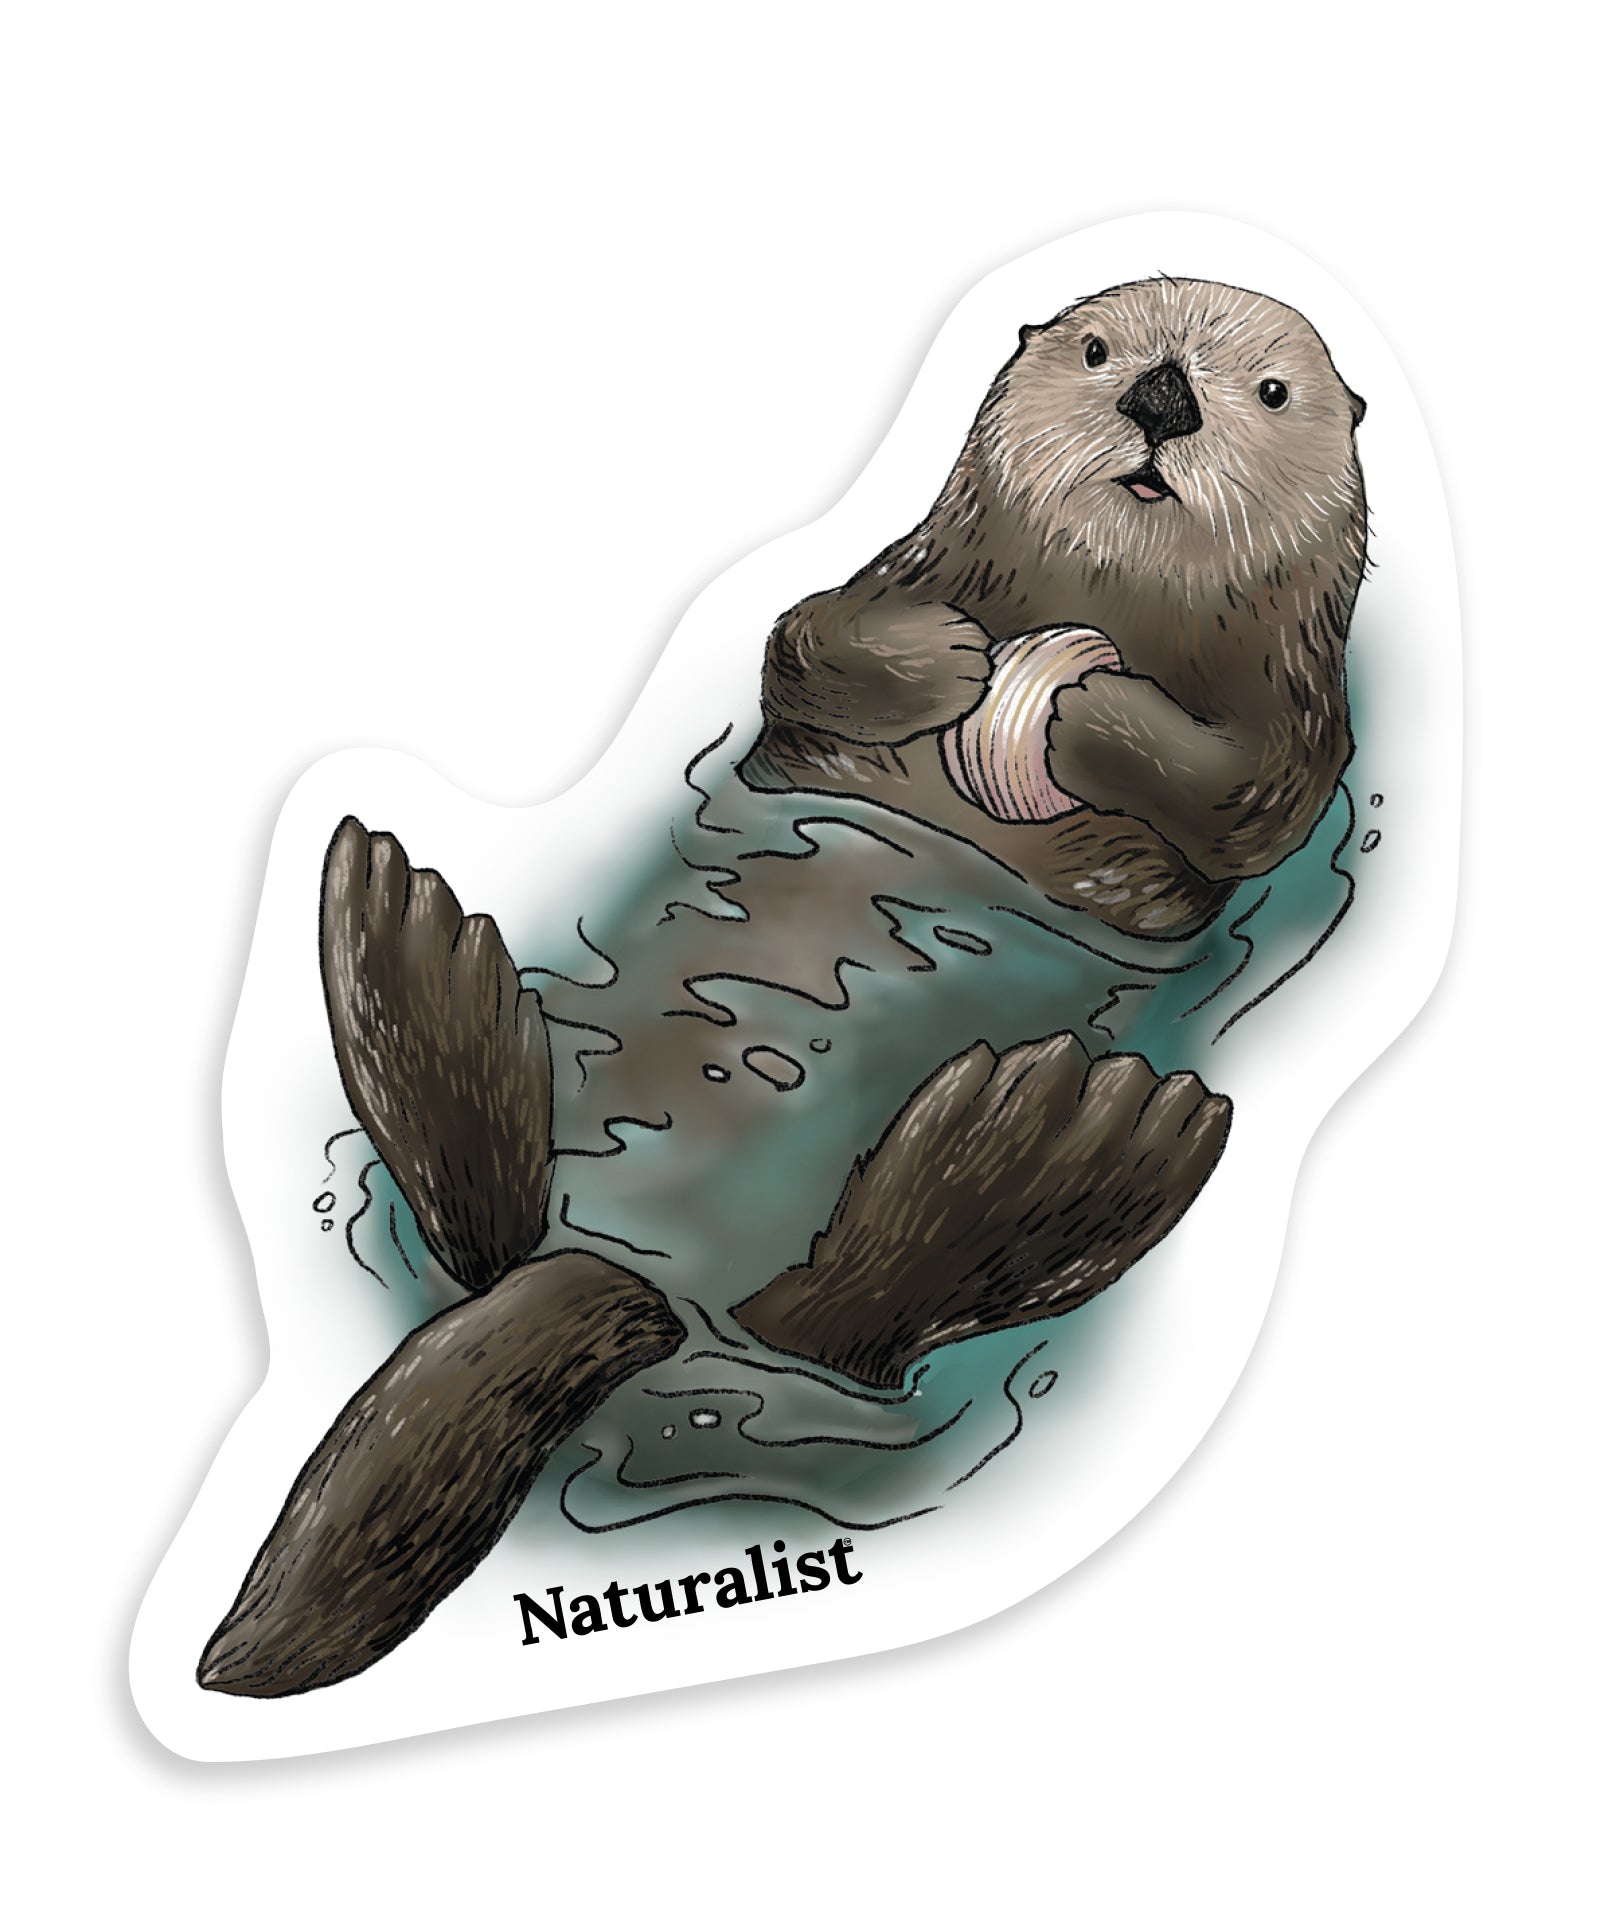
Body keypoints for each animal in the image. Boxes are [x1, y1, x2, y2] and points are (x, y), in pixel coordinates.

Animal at [744, 276, 1367, 937]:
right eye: (1095, 350)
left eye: (1274, 391)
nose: (1162, 401)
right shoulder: (911, 570)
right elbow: (801, 640)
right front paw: (951, 654)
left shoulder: (1294, 689)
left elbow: (1259, 802)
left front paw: (1093, 713)